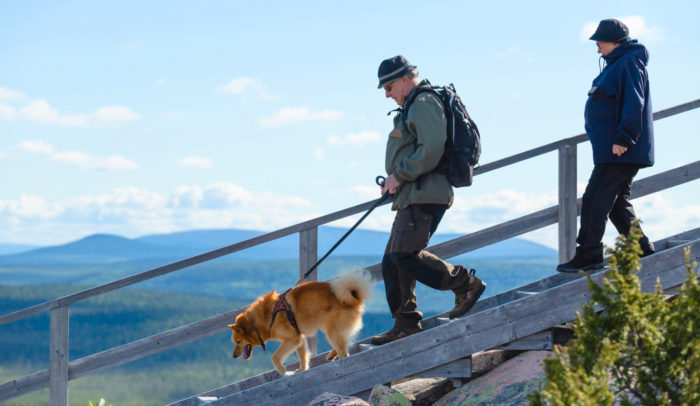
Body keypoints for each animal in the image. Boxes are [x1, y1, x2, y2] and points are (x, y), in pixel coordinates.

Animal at [228, 272, 372, 376]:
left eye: (238, 342)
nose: (233, 356)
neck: (266, 317)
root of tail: (354, 297)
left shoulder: (292, 339)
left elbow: (275, 357)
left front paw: (281, 369)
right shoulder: (299, 338)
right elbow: (303, 357)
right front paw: (302, 370)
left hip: (331, 331)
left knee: (344, 353)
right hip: (333, 331)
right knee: (343, 345)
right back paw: (332, 354)